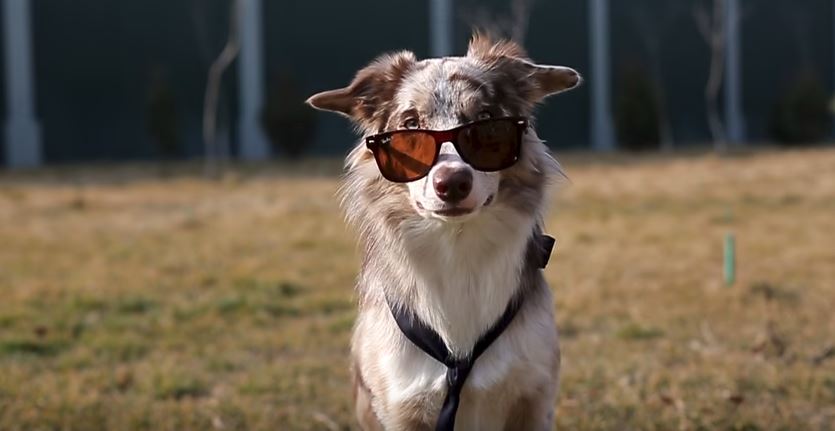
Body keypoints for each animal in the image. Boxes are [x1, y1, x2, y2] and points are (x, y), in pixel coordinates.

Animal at [306, 32, 580, 430]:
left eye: (486, 121)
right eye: (409, 126)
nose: (451, 182)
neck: (457, 250)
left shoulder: (533, 395)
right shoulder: (402, 404)